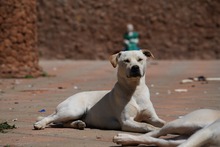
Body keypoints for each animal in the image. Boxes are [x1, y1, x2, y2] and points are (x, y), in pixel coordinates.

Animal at [33, 49, 165, 132]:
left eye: (140, 59)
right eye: (126, 61)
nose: (135, 68)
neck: (135, 90)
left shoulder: (153, 118)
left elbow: (163, 122)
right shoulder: (127, 121)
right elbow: (146, 125)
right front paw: (156, 130)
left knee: (64, 123)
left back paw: (78, 124)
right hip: (73, 110)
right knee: (51, 118)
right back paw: (39, 124)